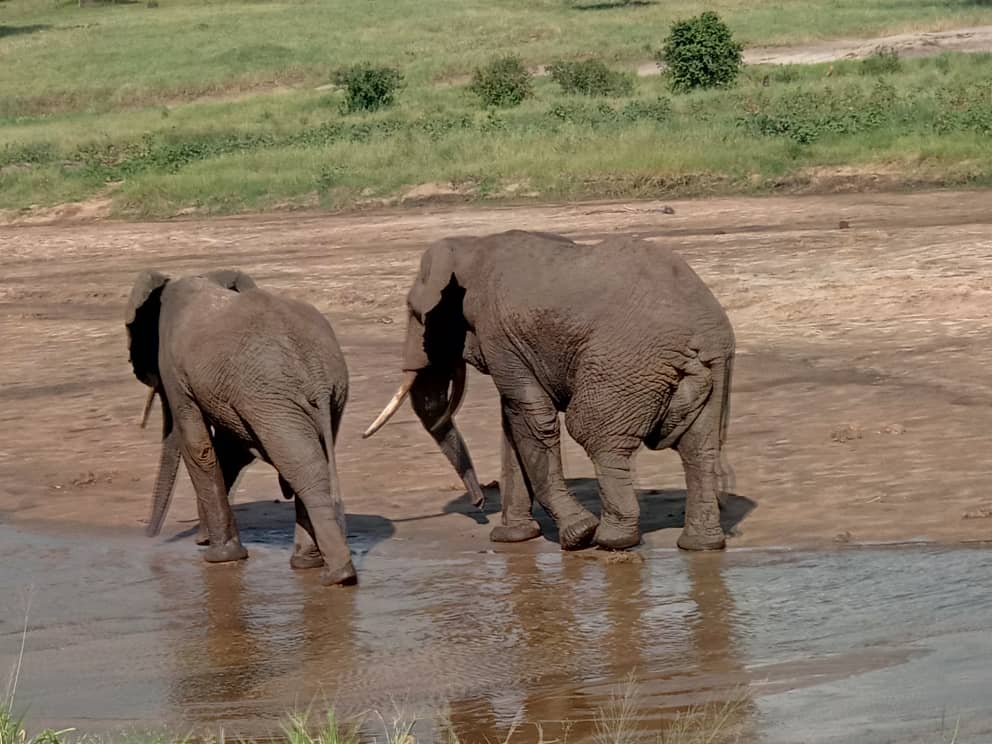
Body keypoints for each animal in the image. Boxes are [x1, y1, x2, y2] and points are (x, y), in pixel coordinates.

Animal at [125, 268, 356, 588]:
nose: (149, 538)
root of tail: (315, 372)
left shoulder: (174, 369)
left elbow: (199, 447)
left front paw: (219, 557)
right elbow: (230, 451)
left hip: (272, 397)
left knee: (302, 468)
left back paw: (334, 575)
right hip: (323, 391)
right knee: (307, 462)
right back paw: (315, 566)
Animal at [364, 231, 736, 552]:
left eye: (416, 313)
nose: (479, 502)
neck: (470, 246)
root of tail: (705, 333)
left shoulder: (498, 333)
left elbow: (531, 415)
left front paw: (577, 534)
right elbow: (512, 423)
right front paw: (512, 538)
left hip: (625, 364)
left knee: (594, 435)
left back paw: (611, 540)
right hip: (705, 374)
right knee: (699, 448)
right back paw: (701, 545)